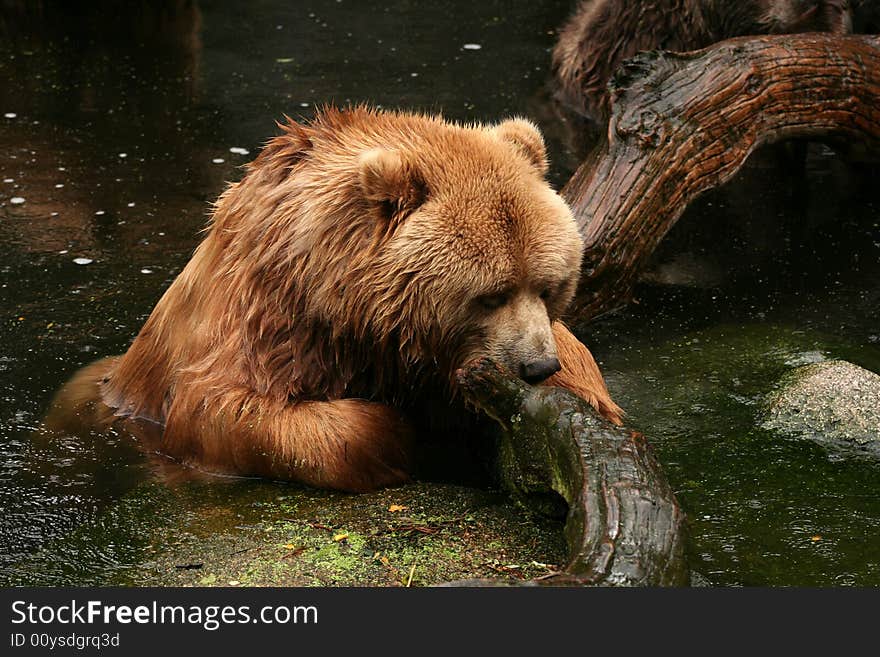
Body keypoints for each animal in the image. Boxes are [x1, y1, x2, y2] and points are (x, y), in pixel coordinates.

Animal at [51, 106, 624, 486]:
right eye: (490, 295)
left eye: (549, 286)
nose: (536, 366)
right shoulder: (268, 315)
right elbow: (225, 409)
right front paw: (394, 436)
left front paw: (580, 391)